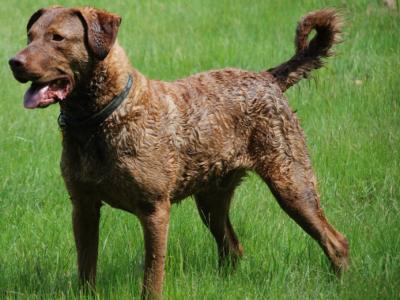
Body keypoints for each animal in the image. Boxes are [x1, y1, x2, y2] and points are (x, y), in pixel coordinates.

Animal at [8, 5, 346, 298]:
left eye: (57, 38)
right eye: (30, 35)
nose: (13, 61)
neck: (100, 120)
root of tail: (268, 78)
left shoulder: (154, 209)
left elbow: (152, 274)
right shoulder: (83, 205)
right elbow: (86, 267)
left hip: (292, 182)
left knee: (336, 242)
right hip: (211, 199)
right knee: (232, 247)